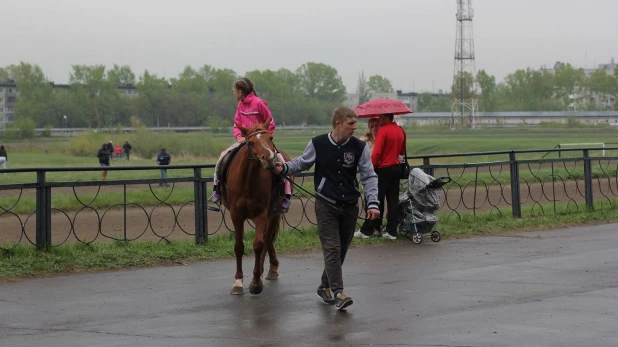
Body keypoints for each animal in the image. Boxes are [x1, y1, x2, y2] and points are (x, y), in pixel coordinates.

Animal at [221, 120, 288, 296]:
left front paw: (256, 281)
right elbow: (239, 246)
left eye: (270, 137)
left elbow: (258, 244)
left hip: (275, 213)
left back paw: (268, 270)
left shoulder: (262, 214)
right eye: (250, 142)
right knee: (268, 239)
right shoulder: (236, 215)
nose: (270, 160)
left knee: (267, 239)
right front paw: (238, 281)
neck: (248, 181)